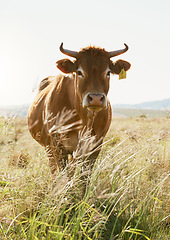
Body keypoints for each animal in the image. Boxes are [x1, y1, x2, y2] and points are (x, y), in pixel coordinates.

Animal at [27, 41, 130, 176]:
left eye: (108, 72)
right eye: (80, 72)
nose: (96, 98)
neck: (84, 119)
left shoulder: (95, 146)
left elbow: (84, 177)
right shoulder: (58, 145)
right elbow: (63, 175)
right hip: (49, 147)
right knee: (54, 170)